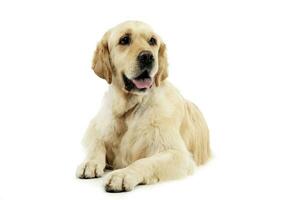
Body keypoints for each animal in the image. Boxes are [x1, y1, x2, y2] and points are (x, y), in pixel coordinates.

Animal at [76, 20, 210, 192]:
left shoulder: (178, 154)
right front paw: (90, 163)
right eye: (124, 40)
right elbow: (97, 143)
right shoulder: (96, 127)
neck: (130, 109)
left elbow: (144, 161)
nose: (147, 56)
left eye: (152, 41)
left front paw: (122, 175)